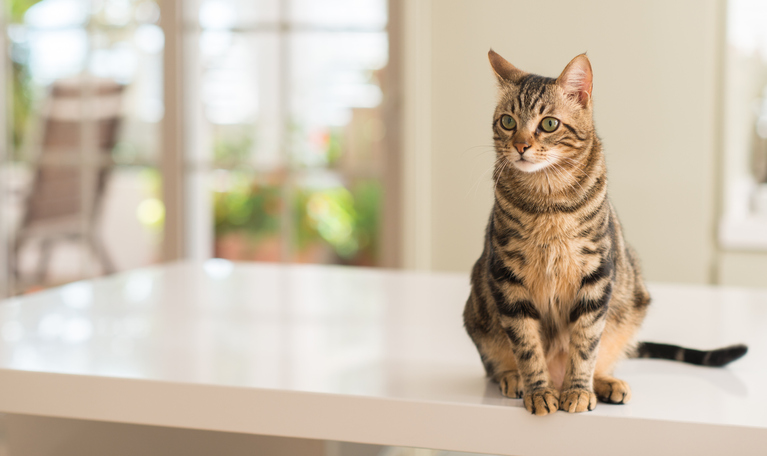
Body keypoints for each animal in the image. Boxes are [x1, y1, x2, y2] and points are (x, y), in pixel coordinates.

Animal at [462, 50, 752, 416]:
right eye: (508, 122)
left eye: (549, 124)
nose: (520, 146)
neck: (548, 202)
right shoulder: (507, 278)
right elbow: (527, 345)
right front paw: (538, 390)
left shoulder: (597, 275)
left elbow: (585, 344)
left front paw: (578, 390)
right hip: (478, 312)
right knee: (497, 363)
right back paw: (515, 378)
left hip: (632, 302)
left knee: (600, 354)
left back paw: (603, 383)